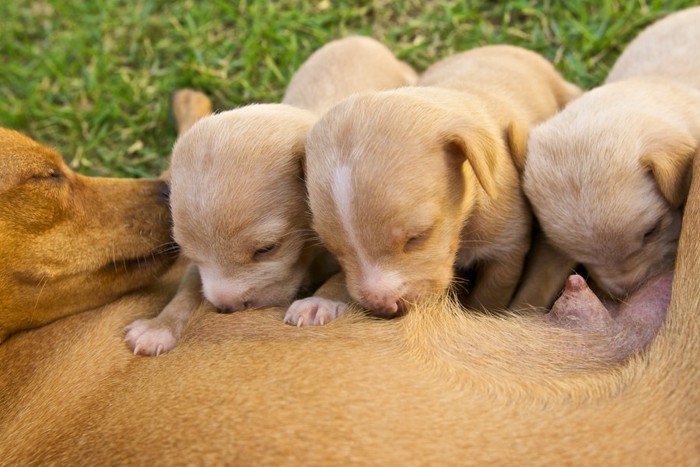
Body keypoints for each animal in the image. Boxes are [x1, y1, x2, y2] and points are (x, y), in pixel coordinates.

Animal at [288, 46, 584, 326]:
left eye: (418, 236)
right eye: (332, 249)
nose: (383, 306)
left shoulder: (506, 249)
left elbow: (489, 296)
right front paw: (320, 300)